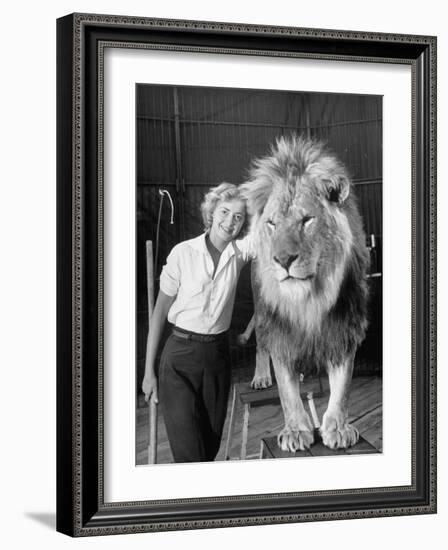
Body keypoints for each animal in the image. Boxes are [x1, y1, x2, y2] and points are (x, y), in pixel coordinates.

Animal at [240, 135, 370, 452]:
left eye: (306, 220)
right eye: (272, 224)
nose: (283, 259)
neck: (309, 299)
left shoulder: (343, 327)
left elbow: (342, 386)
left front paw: (338, 428)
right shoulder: (280, 332)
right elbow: (287, 391)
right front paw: (296, 430)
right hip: (261, 311)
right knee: (261, 346)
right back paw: (261, 376)